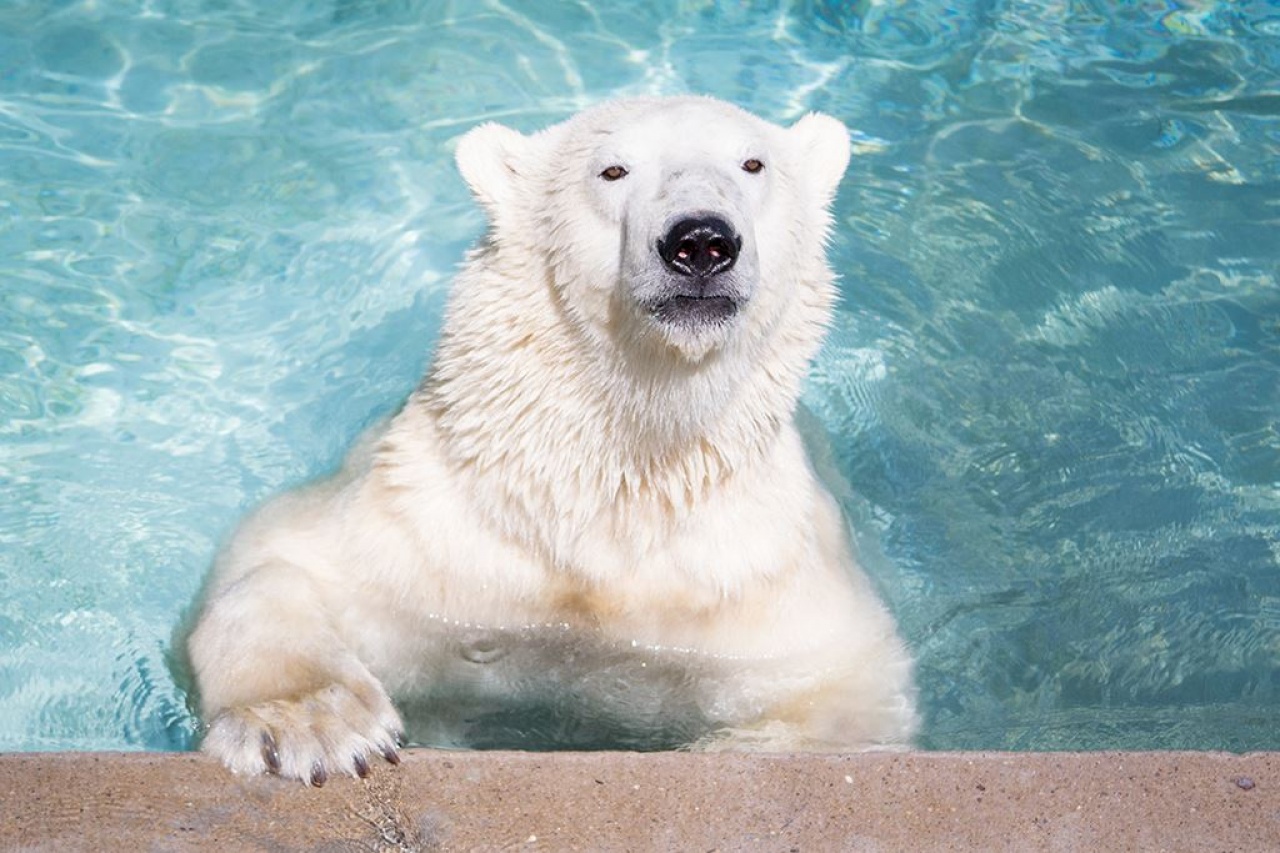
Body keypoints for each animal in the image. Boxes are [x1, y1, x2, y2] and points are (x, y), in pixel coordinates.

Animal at [185, 96, 916, 778]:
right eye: (613, 169)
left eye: (753, 164)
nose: (701, 241)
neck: (620, 469)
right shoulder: (437, 525)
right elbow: (275, 560)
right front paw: (309, 723)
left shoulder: (753, 577)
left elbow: (846, 696)